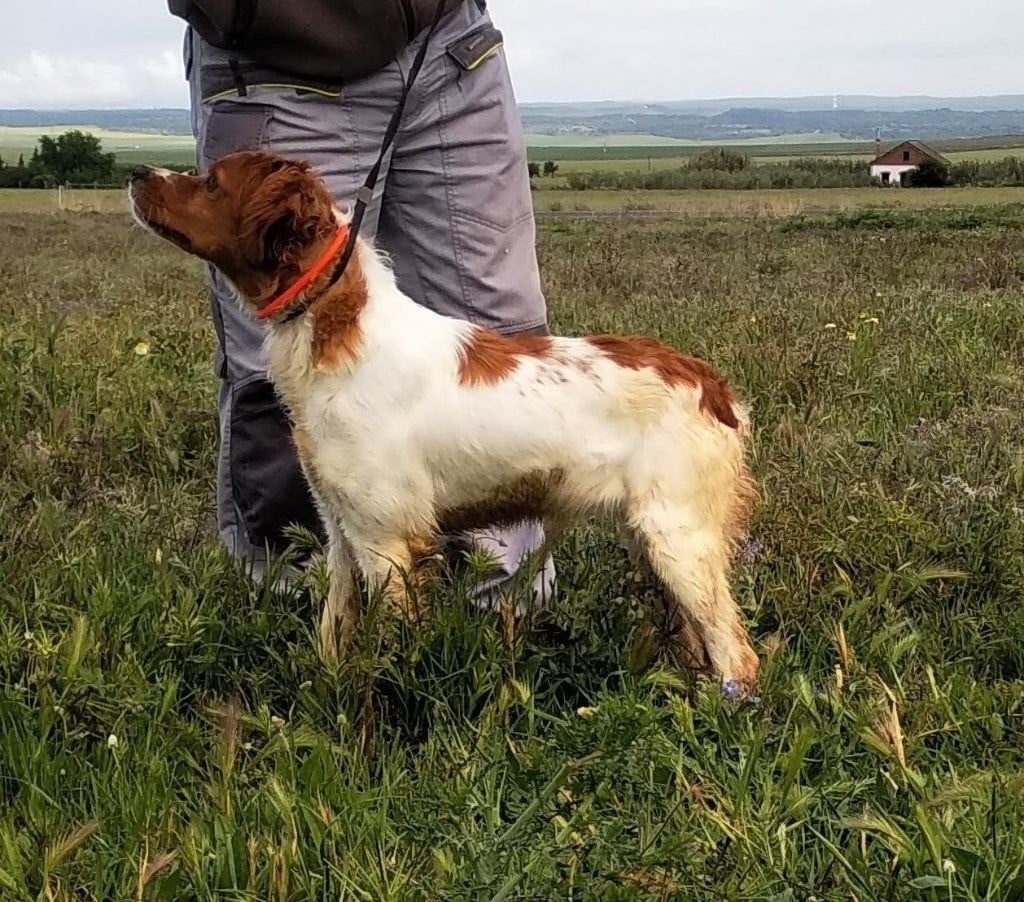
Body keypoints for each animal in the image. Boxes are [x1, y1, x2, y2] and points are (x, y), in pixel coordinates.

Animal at [125, 147, 761, 696]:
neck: (336, 330)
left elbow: (391, 650)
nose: (134, 171)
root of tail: (714, 386)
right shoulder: (340, 526)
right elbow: (334, 625)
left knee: (736, 653)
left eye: (212, 182)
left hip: (678, 539)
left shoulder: (387, 540)